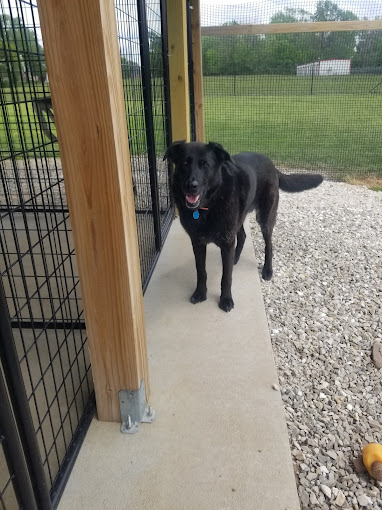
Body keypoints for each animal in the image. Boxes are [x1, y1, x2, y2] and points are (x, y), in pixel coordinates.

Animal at [164, 141, 322, 312]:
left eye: (205, 164)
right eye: (185, 163)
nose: (191, 185)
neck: (208, 206)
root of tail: (272, 165)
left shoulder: (227, 242)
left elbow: (226, 277)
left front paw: (226, 299)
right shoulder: (198, 242)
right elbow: (201, 271)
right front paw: (200, 293)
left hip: (264, 218)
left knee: (269, 244)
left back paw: (267, 269)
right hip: (238, 217)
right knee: (243, 236)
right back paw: (236, 257)